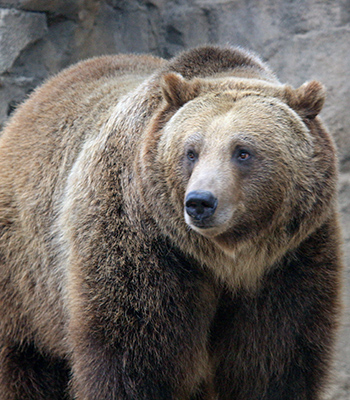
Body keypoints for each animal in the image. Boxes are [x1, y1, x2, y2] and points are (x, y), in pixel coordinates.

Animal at [0, 47, 344, 400]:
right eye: (191, 151)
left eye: (243, 151)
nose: (200, 202)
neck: (227, 257)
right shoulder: (143, 242)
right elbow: (134, 354)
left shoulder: (290, 259)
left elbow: (273, 358)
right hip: (27, 276)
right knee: (27, 360)